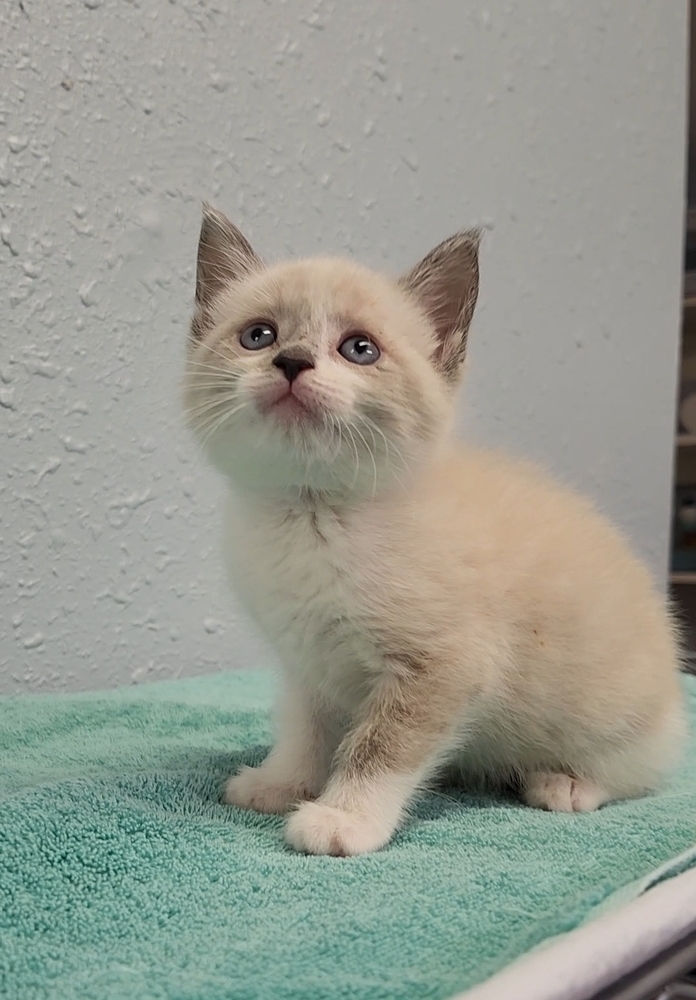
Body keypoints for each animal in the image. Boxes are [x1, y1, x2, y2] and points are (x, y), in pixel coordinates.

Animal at [182, 205, 684, 860]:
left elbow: (380, 745)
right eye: (259, 335)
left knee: (638, 771)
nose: (290, 361)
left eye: (360, 349)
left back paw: (567, 783)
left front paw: (343, 818)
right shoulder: (307, 662)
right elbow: (304, 728)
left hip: (617, 717)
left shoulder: (445, 665)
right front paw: (282, 782)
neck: (313, 516)